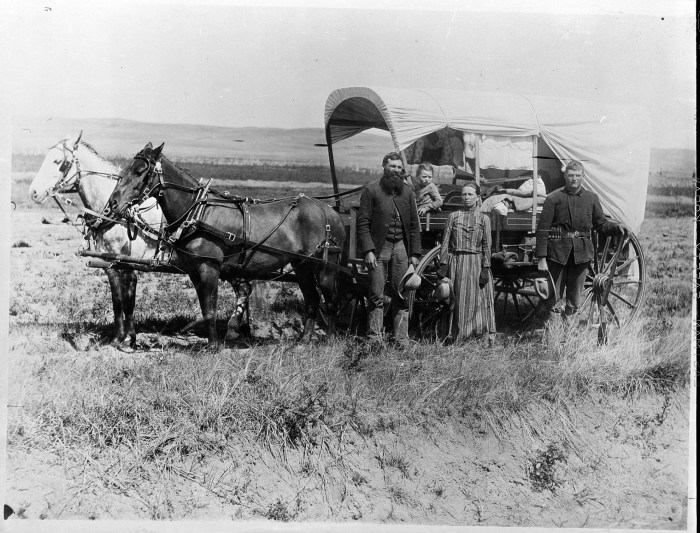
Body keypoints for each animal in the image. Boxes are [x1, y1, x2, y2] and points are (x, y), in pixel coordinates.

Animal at [108, 143, 346, 348]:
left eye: (139, 171)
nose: (113, 202)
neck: (197, 212)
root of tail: (331, 212)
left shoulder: (209, 268)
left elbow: (210, 310)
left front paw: (213, 346)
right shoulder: (195, 270)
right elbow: (206, 308)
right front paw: (214, 342)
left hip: (326, 267)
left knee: (331, 302)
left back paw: (330, 340)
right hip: (302, 266)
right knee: (312, 300)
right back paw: (304, 341)